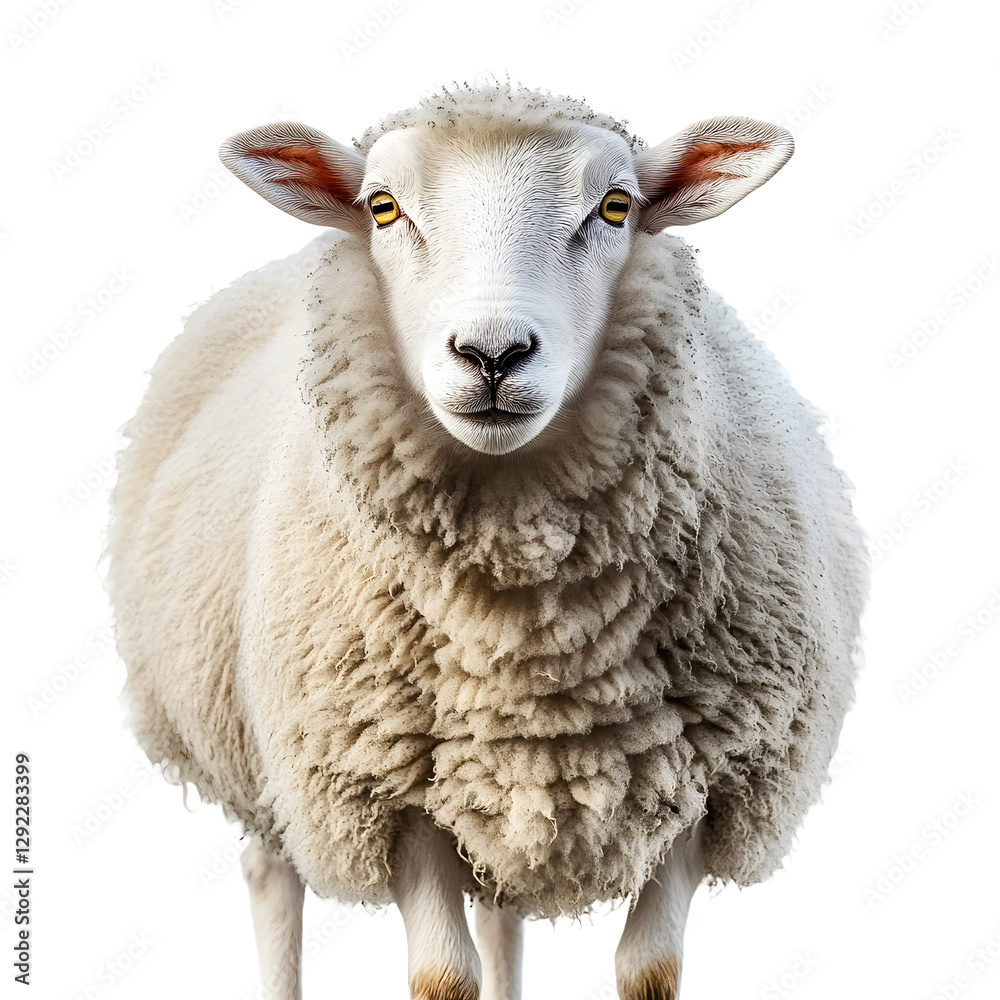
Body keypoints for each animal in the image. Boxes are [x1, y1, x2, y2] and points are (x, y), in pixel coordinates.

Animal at [107, 82, 868, 1000]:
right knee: (271, 875)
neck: (529, 633)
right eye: (383, 207)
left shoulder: (710, 784)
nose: (492, 353)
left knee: (503, 911)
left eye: (616, 206)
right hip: (254, 748)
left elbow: (648, 970)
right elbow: (444, 976)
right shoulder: (386, 787)